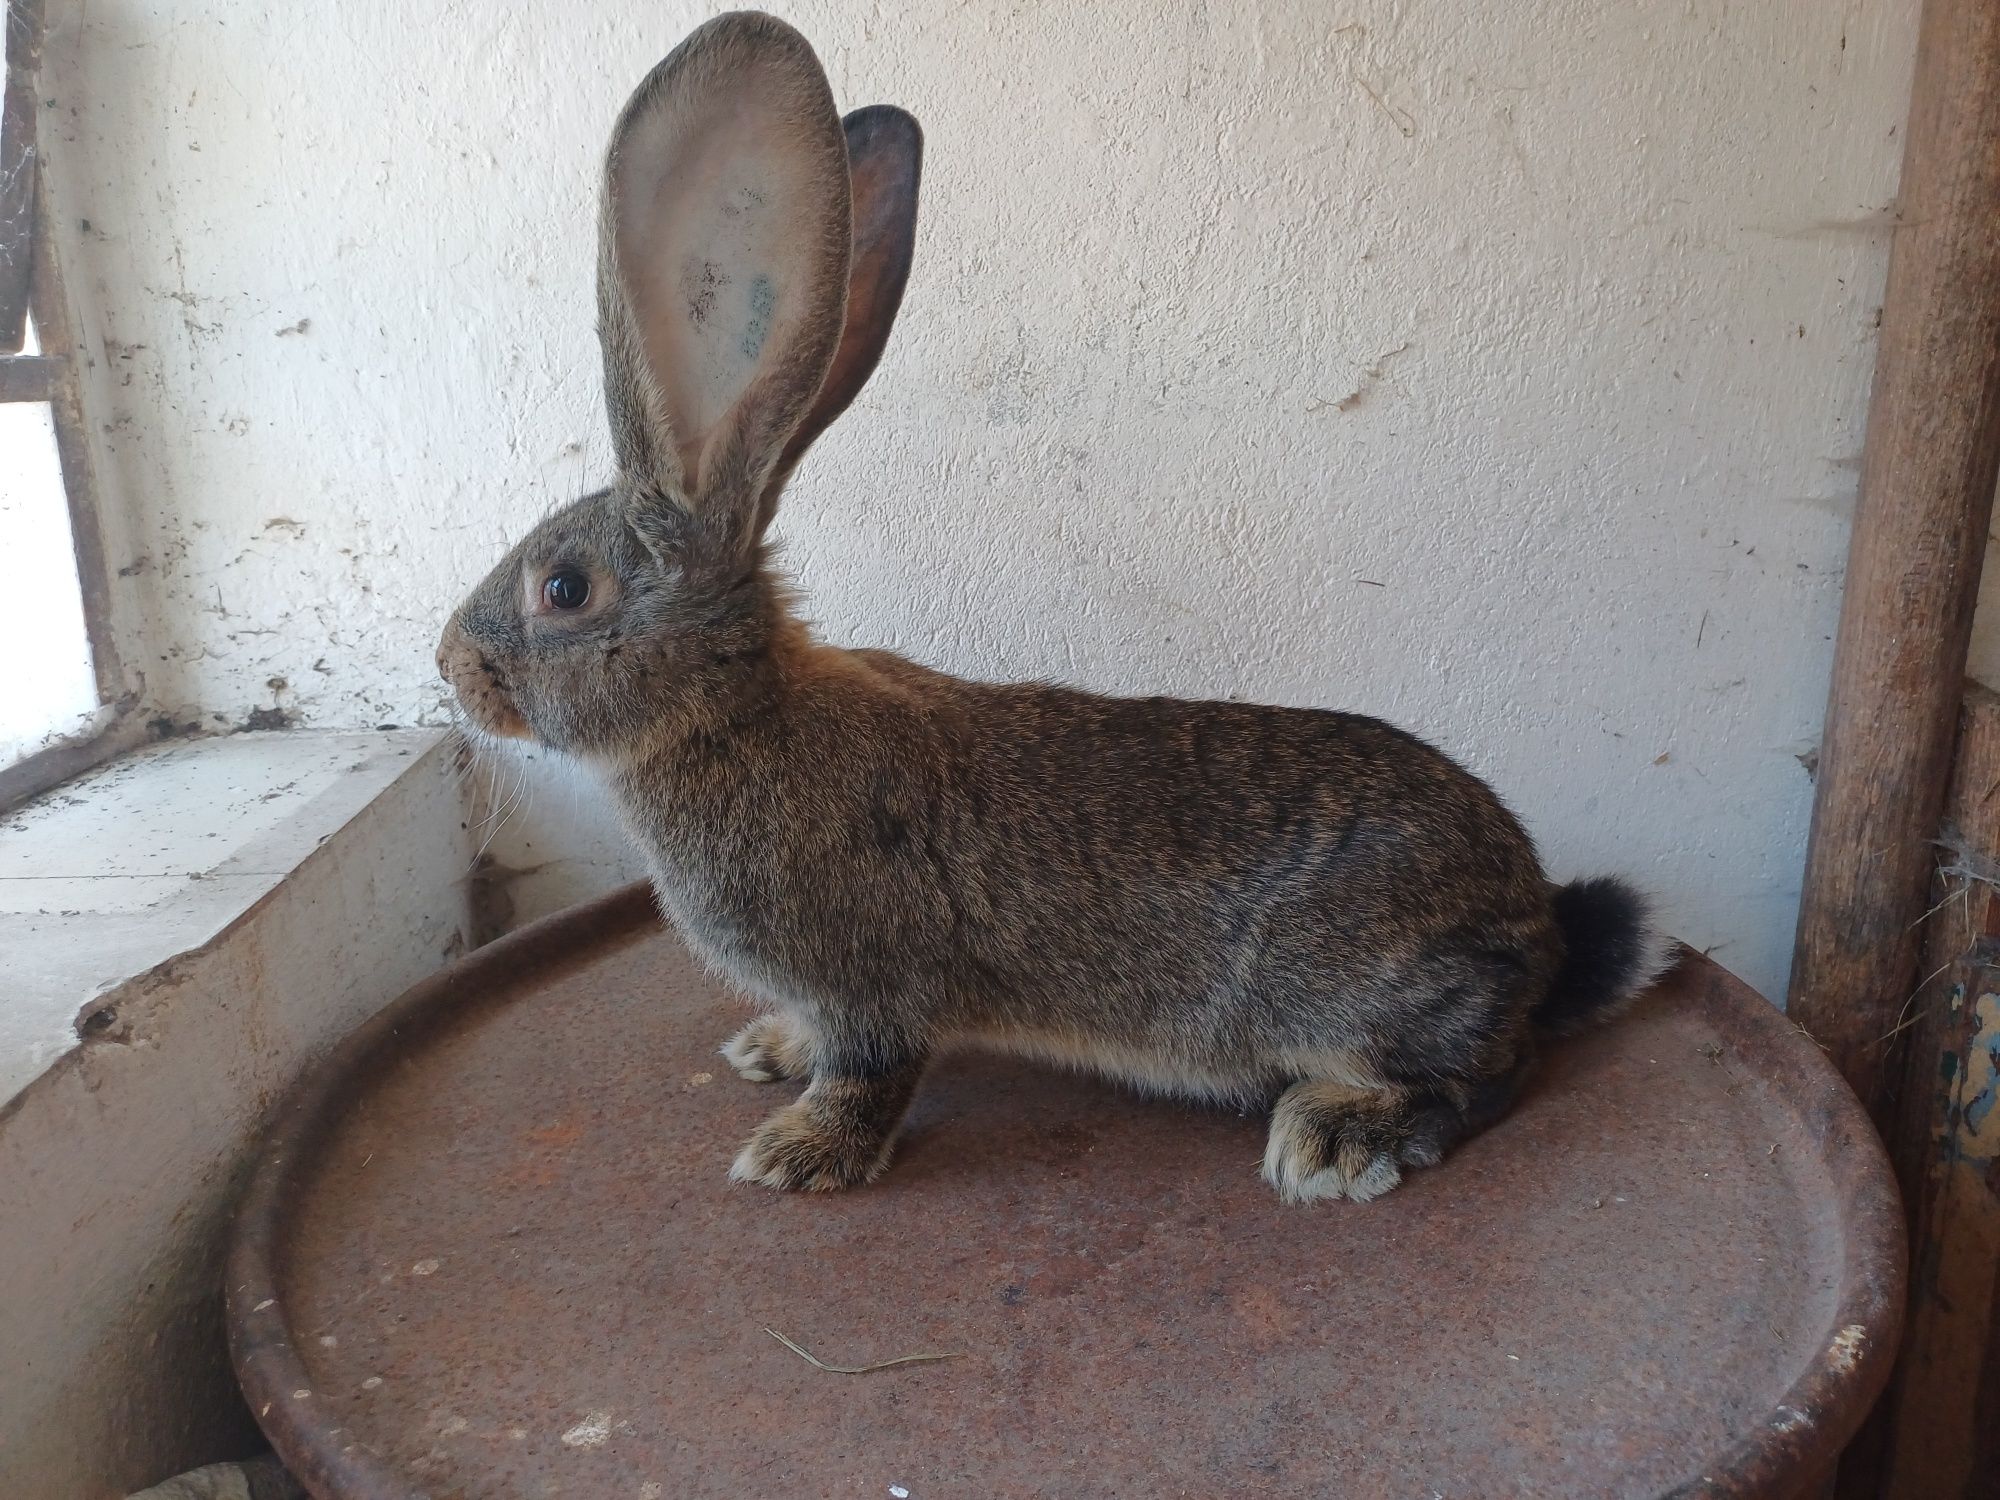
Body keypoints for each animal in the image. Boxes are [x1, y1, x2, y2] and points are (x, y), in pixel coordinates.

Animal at [438, 8, 1672, 1208]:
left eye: (562, 590)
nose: (452, 670)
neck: (734, 711)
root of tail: (1537, 930)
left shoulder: (871, 981)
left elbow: (870, 1071)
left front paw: (795, 1154)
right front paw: (765, 1053)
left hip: (1358, 996)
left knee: (1488, 1073)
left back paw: (1332, 1140)